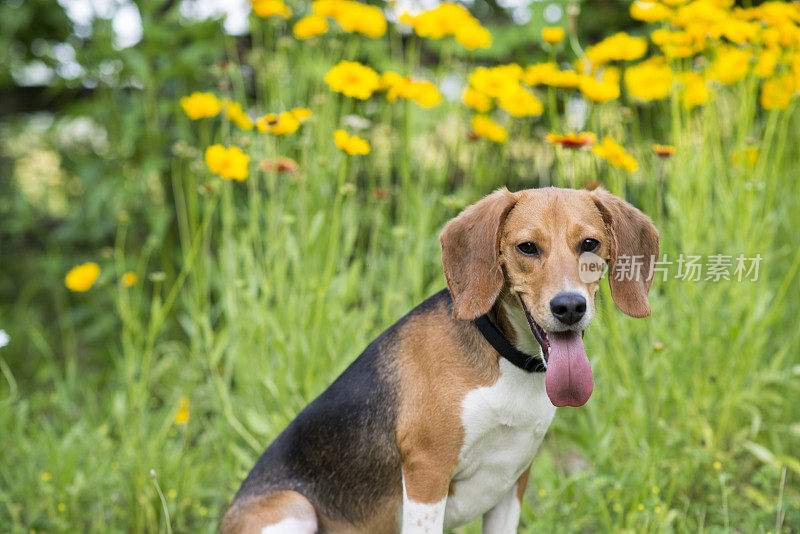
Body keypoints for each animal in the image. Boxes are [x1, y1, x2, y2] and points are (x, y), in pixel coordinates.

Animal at [222, 187, 660, 534]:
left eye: (589, 244)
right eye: (527, 248)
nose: (569, 306)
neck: (506, 362)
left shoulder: (513, 482)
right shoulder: (426, 476)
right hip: (293, 507)